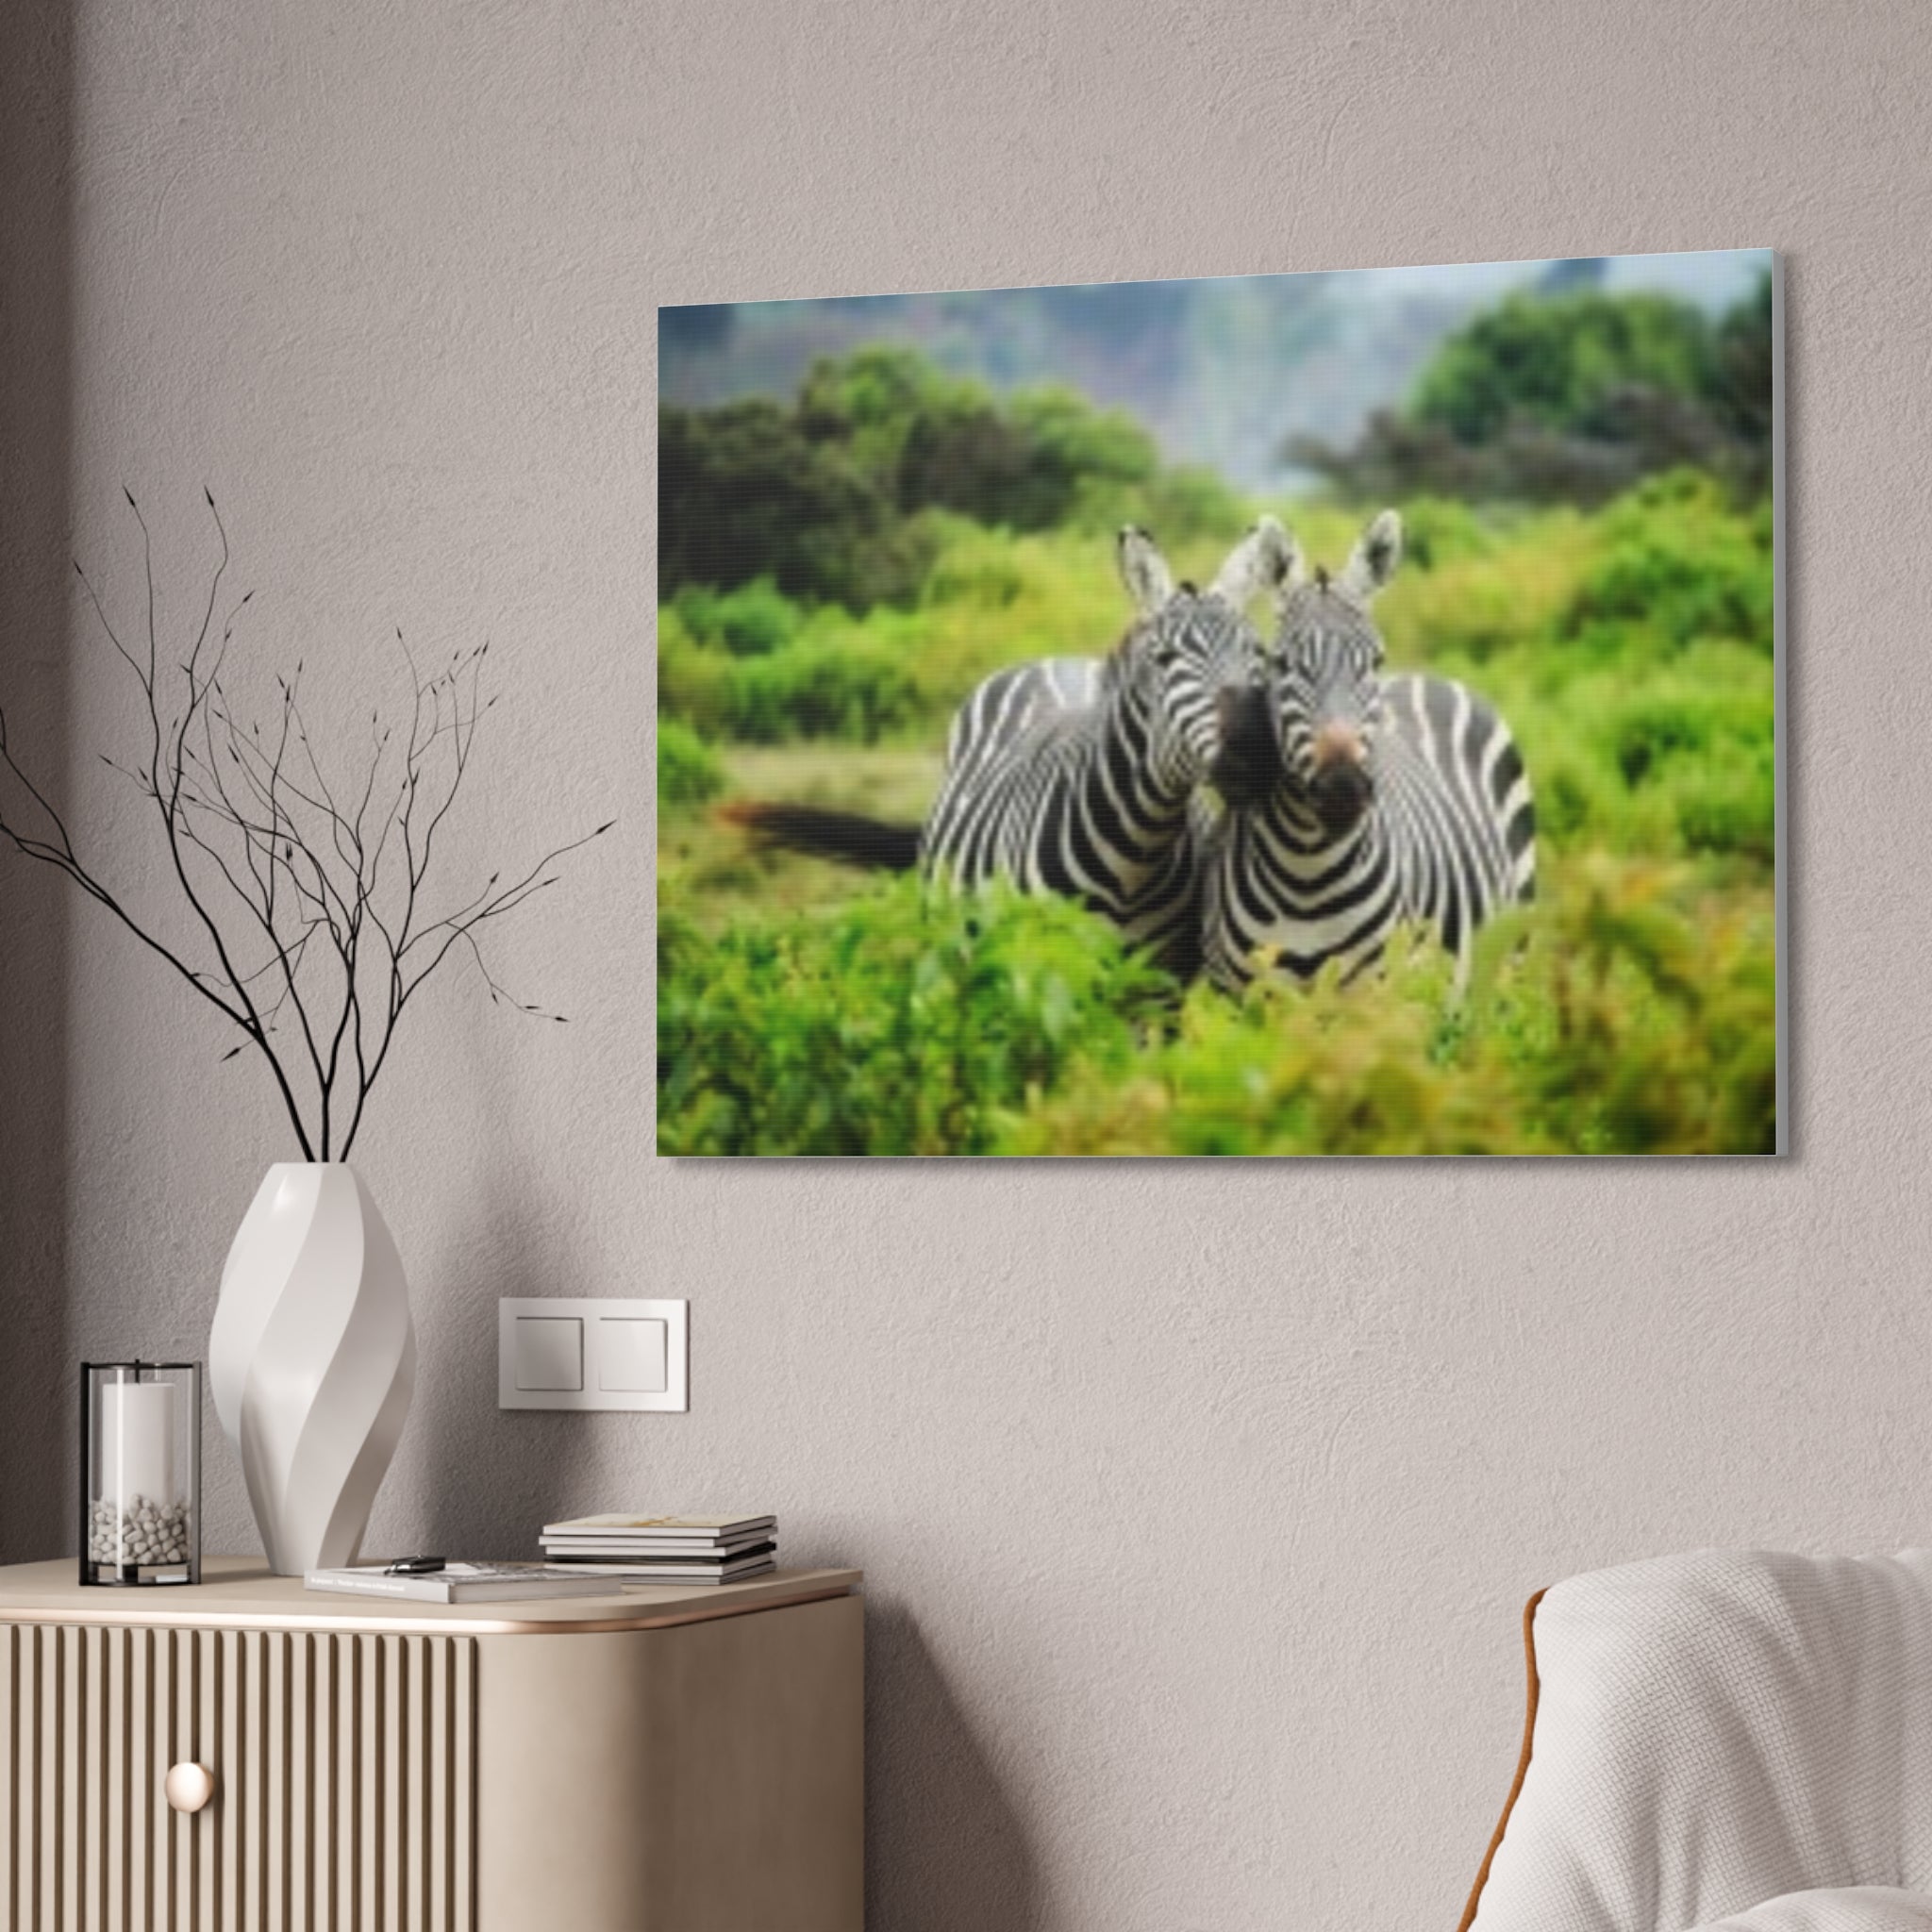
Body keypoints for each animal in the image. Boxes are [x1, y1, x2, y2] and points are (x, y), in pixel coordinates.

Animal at [729, 521, 1291, 977]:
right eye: (1165, 659)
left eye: (1259, 654)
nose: (1253, 752)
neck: (1135, 854)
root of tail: (1054, 659)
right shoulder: (1042, 967)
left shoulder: (1163, 983)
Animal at [1200, 509, 1536, 991]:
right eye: (1281, 663)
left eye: (1375, 661)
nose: (1343, 787)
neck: (1307, 873)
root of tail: (1428, 677)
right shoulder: (1236, 992)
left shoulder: (1375, 989)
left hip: (1508, 957)